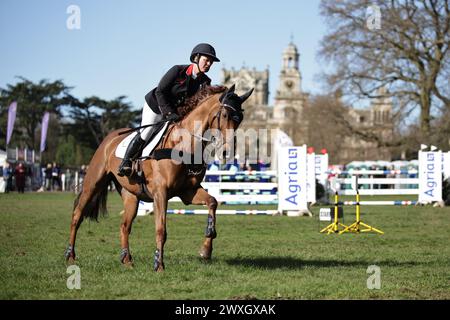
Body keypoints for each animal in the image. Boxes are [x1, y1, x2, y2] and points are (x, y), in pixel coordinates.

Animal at [64, 84, 253, 272]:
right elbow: (161, 229)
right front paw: (159, 265)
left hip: (131, 195)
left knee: (124, 226)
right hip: (93, 184)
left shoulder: (188, 192)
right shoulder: (161, 193)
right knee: (77, 216)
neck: (184, 144)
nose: (227, 152)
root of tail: (108, 139)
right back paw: (70, 256)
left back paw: (127, 260)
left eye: (240, 118)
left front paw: (206, 250)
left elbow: (212, 202)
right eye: (225, 115)